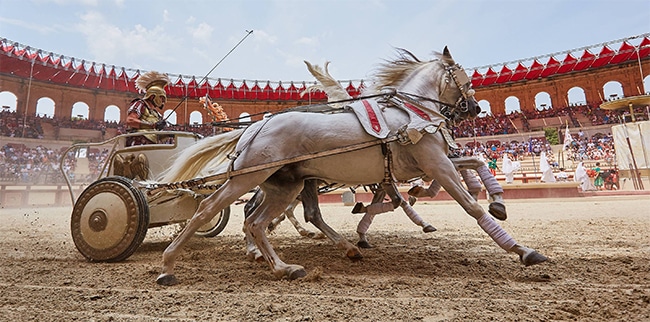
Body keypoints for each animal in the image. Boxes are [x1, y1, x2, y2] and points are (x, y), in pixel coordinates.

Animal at [154, 47, 544, 284]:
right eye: (462, 76)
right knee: (209, 209)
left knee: (258, 221)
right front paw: (521, 249)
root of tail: (255, 126)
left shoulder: (423, 166)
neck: (411, 114)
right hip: (250, 178)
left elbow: (474, 162)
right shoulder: (435, 164)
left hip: (284, 185)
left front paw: (497, 200)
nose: (474, 109)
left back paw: (286, 266)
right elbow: (470, 205)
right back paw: (169, 265)